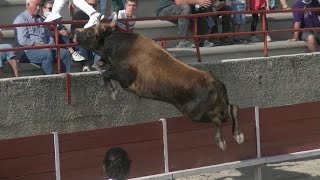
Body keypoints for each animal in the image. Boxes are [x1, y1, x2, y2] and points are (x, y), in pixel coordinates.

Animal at [72, 15, 242, 150]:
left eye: (90, 31)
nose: (75, 33)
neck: (122, 46)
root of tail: (210, 77)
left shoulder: (125, 76)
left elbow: (106, 75)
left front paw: (112, 93)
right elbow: (105, 72)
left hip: (194, 112)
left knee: (220, 118)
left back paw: (222, 141)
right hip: (209, 107)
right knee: (232, 108)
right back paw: (238, 135)